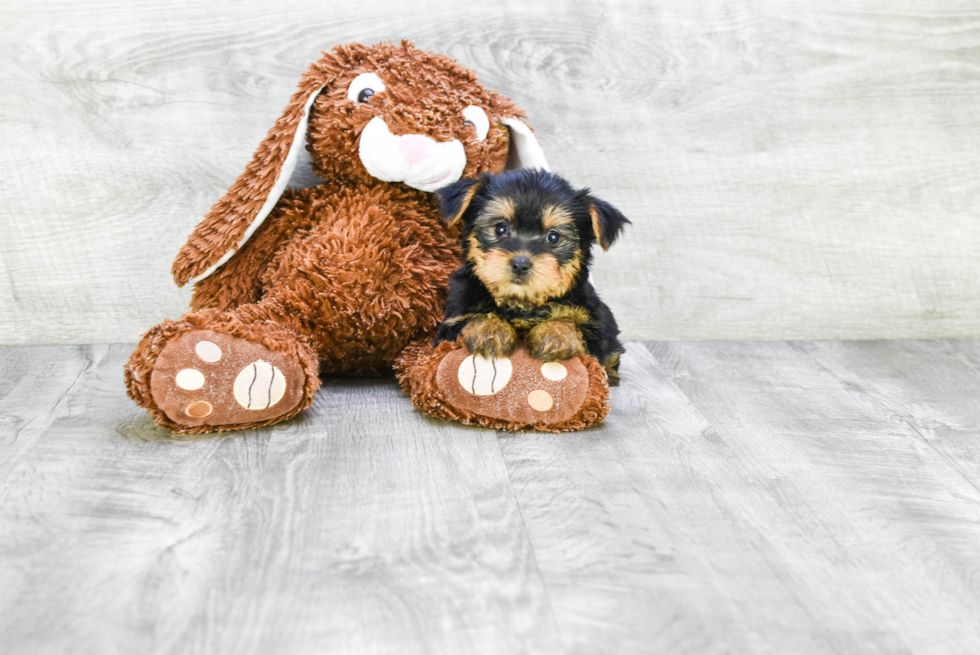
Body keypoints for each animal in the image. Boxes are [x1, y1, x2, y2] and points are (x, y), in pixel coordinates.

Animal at [432, 168, 632, 384]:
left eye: (553, 237)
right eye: (500, 228)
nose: (520, 264)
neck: (521, 303)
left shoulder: (593, 324)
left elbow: (572, 322)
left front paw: (555, 334)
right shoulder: (450, 324)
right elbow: (471, 318)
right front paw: (489, 329)